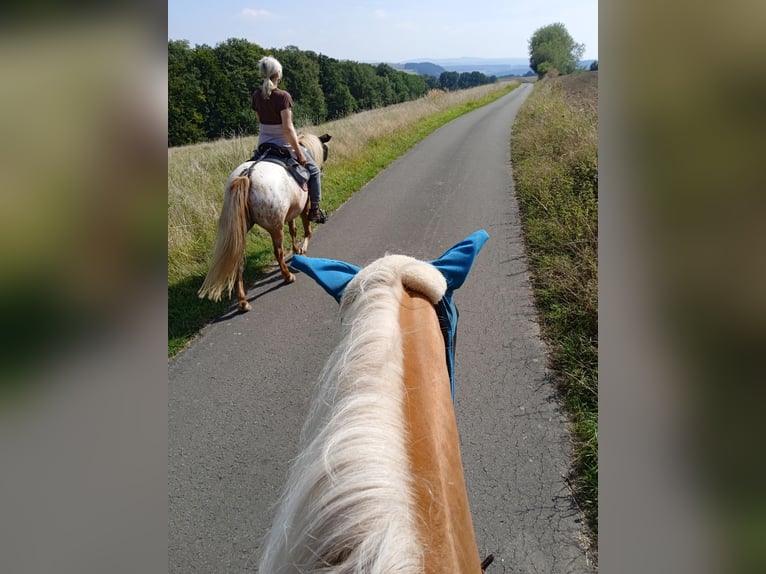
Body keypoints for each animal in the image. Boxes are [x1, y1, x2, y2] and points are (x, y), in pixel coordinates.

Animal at [198, 133, 330, 312]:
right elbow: (307, 231)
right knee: (278, 252)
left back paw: (243, 301)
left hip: (242, 231)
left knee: (238, 261)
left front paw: (296, 249)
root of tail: (248, 174)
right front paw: (302, 250)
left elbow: (293, 230)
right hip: (275, 227)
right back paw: (287, 276)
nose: (321, 171)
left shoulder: (291, 212)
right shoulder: (305, 207)